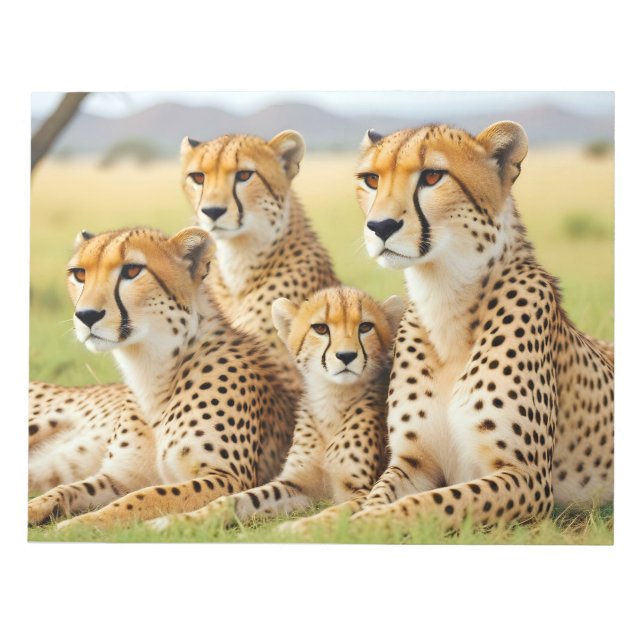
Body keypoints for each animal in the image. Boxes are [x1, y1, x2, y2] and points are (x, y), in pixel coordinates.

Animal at [28, 226, 295, 528]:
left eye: (132, 270)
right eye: (79, 274)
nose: (86, 315)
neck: (152, 371)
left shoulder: (228, 478)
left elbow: (144, 496)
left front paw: (80, 524)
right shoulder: (119, 476)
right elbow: (67, 488)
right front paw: (34, 508)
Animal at [147, 286, 405, 533]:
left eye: (365, 327)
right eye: (320, 328)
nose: (346, 355)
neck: (331, 401)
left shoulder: (360, 491)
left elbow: (335, 513)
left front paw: (296, 528)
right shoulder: (295, 484)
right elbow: (233, 500)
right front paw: (178, 520)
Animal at [341, 121, 614, 533]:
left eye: (432, 176)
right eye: (371, 179)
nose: (380, 226)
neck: (444, 300)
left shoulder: (527, 478)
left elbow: (424, 505)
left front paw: (354, 527)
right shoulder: (412, 463)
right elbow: (376, 498)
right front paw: (317, 525)